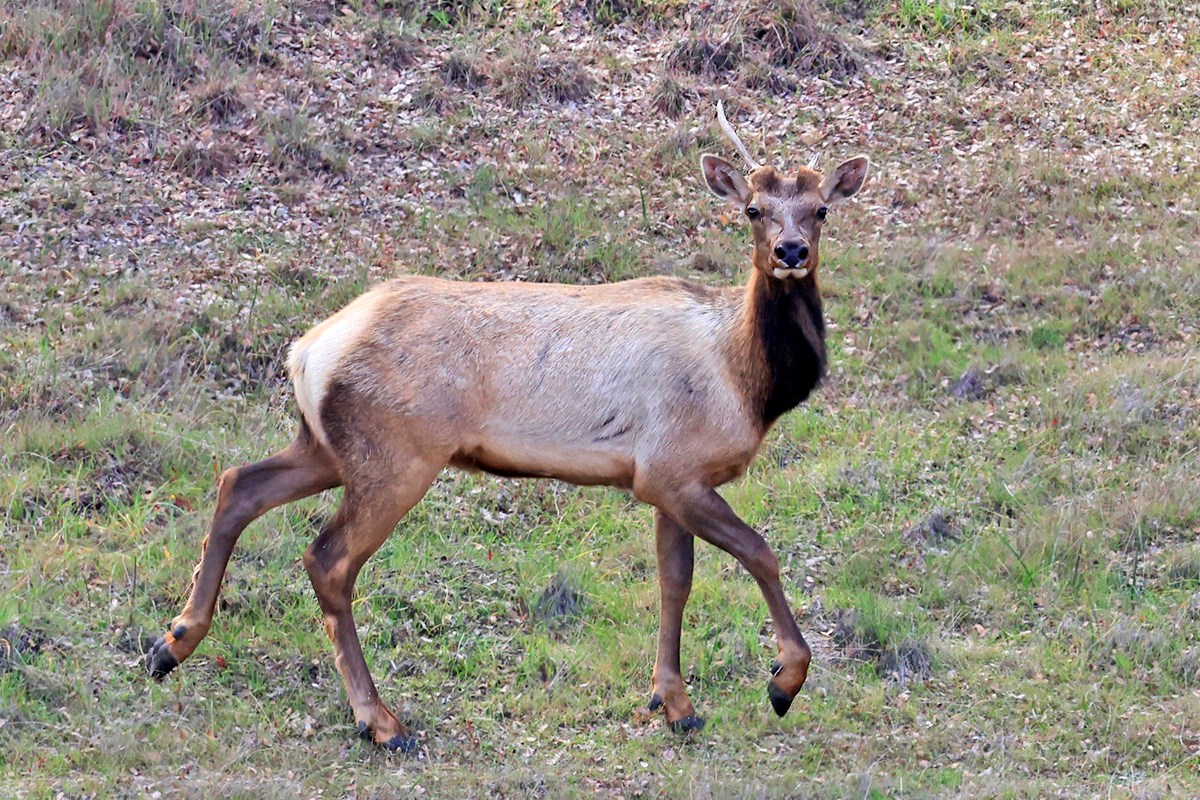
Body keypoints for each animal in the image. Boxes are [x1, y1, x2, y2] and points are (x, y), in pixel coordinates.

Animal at [145, 104, 868, 753]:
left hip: (325, 444)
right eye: (752, 210)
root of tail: (306, 350)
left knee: (238, 483)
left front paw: (675, 704)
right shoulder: (672, 470)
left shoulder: (666, 478)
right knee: (327, 559)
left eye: (821, 210)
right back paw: (380, 721)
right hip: (394, 454)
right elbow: (760, 551)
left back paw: (171, 643)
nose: (792, 251)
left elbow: (675, 581)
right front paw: (782, 681)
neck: (747, 382)